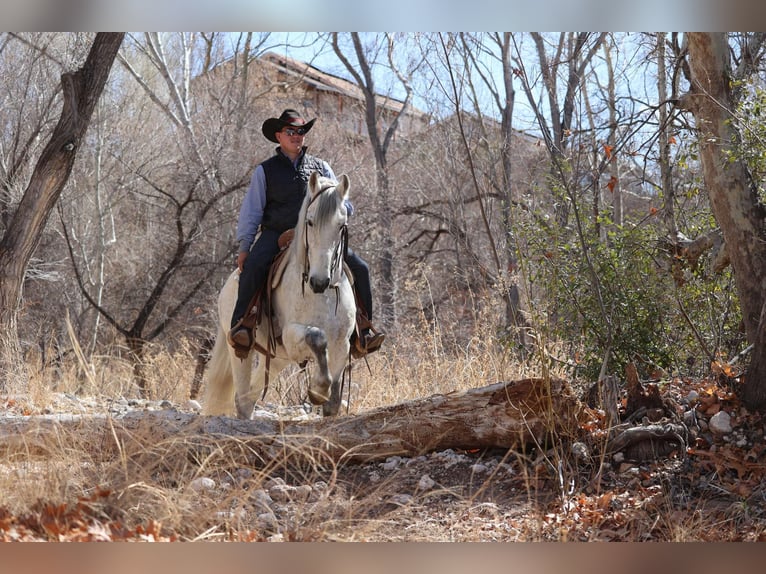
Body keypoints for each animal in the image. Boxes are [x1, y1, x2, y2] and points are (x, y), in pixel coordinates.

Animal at [203, 172, 357, 418]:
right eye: (310, 221)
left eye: (341, 225)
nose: (319, 281)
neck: (320, 295)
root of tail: (227, 285)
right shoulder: (291, 336)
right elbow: (316, 337)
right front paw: (318, 389)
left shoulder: (342, 344)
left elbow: (333, 401)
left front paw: (326, 397)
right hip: (240, 351)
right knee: (242, 397)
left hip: (277, 360)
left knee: (249, 397)